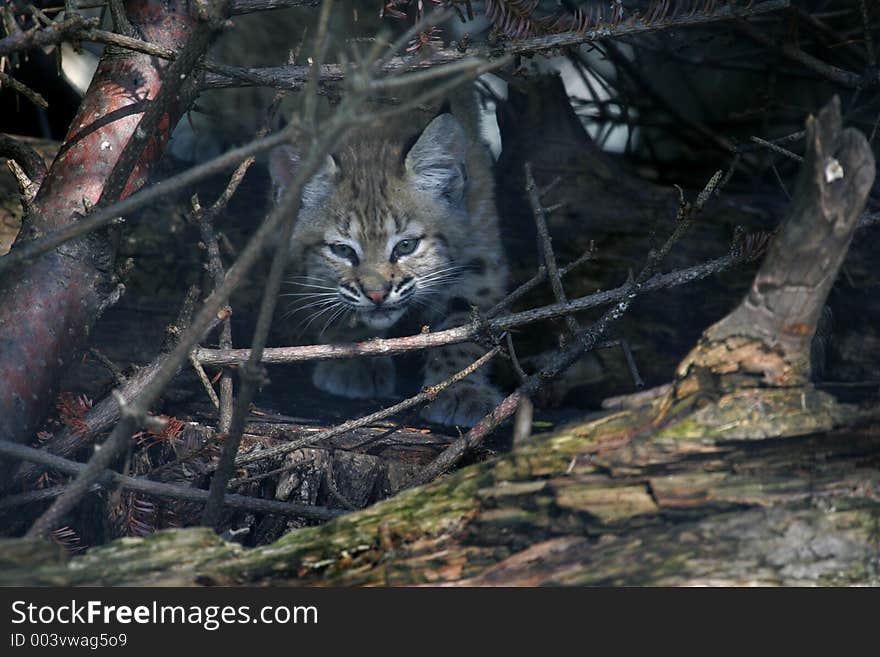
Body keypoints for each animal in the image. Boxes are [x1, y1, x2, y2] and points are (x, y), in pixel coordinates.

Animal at [274, 95, 508, 428]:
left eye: (406, 246)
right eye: (343, 251)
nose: (377, 295)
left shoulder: (479, 250)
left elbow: (464, 324)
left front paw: (458, 389)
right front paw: (353, 355)